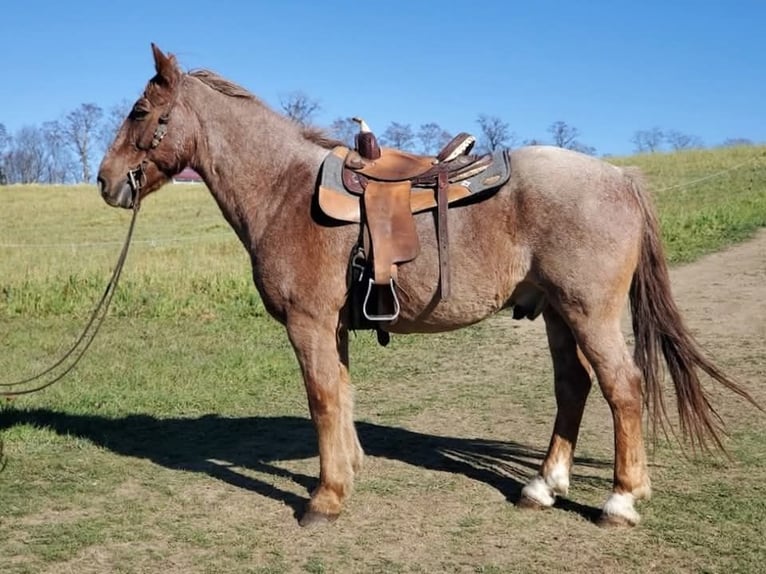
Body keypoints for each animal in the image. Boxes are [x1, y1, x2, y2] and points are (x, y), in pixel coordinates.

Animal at [94, 46, 756, 532]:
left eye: (139, 111)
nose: (105, 180)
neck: (283, 190)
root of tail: (619, 177)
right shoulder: (334, 327)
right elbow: (343, 394)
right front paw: (347, 471)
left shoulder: (309, 323)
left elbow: (322, 399)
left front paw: (325, 499)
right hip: (558, 316)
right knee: (574, 387)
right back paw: (543, 486)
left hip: (588, 313)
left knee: (623, 389)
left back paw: (620, 500)